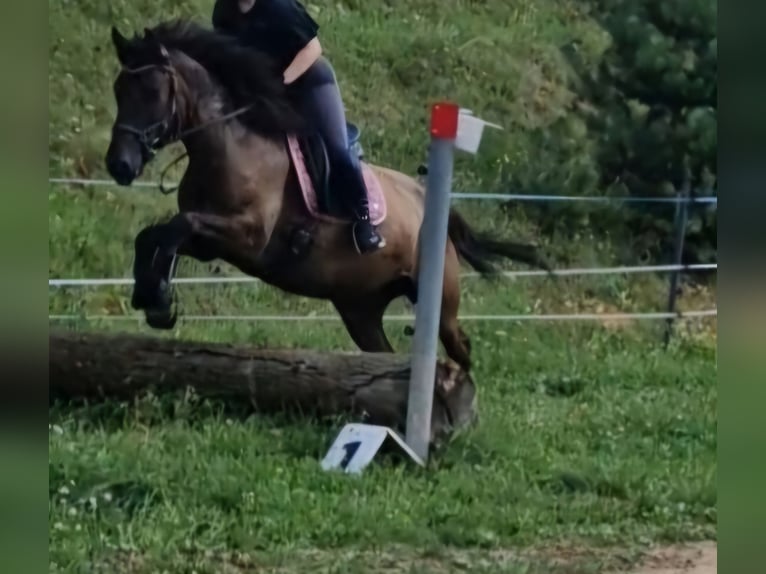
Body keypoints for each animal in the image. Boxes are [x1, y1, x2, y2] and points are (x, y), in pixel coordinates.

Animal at [105, 21, 548, 374]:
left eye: (152, 91)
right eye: (118, 89)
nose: (119, 165)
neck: (229, 143)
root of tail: (424, 196)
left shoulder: (246, 236)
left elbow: (176, 227)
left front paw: (158, 298)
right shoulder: (211, 241)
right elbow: (155, 235)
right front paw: (152, 297)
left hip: (439, 298)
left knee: (460, 345)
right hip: (360, 308)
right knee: (384, 351)